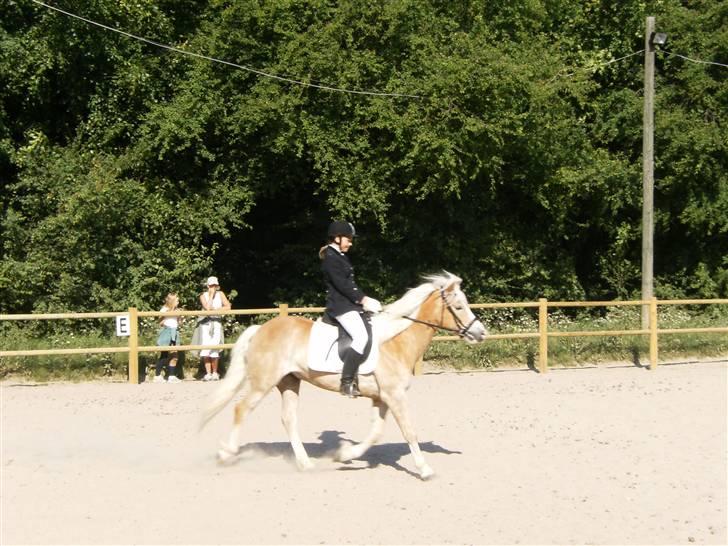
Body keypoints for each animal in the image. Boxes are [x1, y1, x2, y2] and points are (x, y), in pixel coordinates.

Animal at [199, 270, 486, 476]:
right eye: (459, 307)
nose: (480, 333)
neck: (396, 341)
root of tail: (261, 328)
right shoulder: (395, 396)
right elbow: (409, 431)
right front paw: (425, 469)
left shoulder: (381, 398)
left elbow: (375, 433)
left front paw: (344, 454)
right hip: (263, 382)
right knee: (241, 410)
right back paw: (226, 454)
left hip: (289, 382)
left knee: (288, 419)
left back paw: (305, 464)